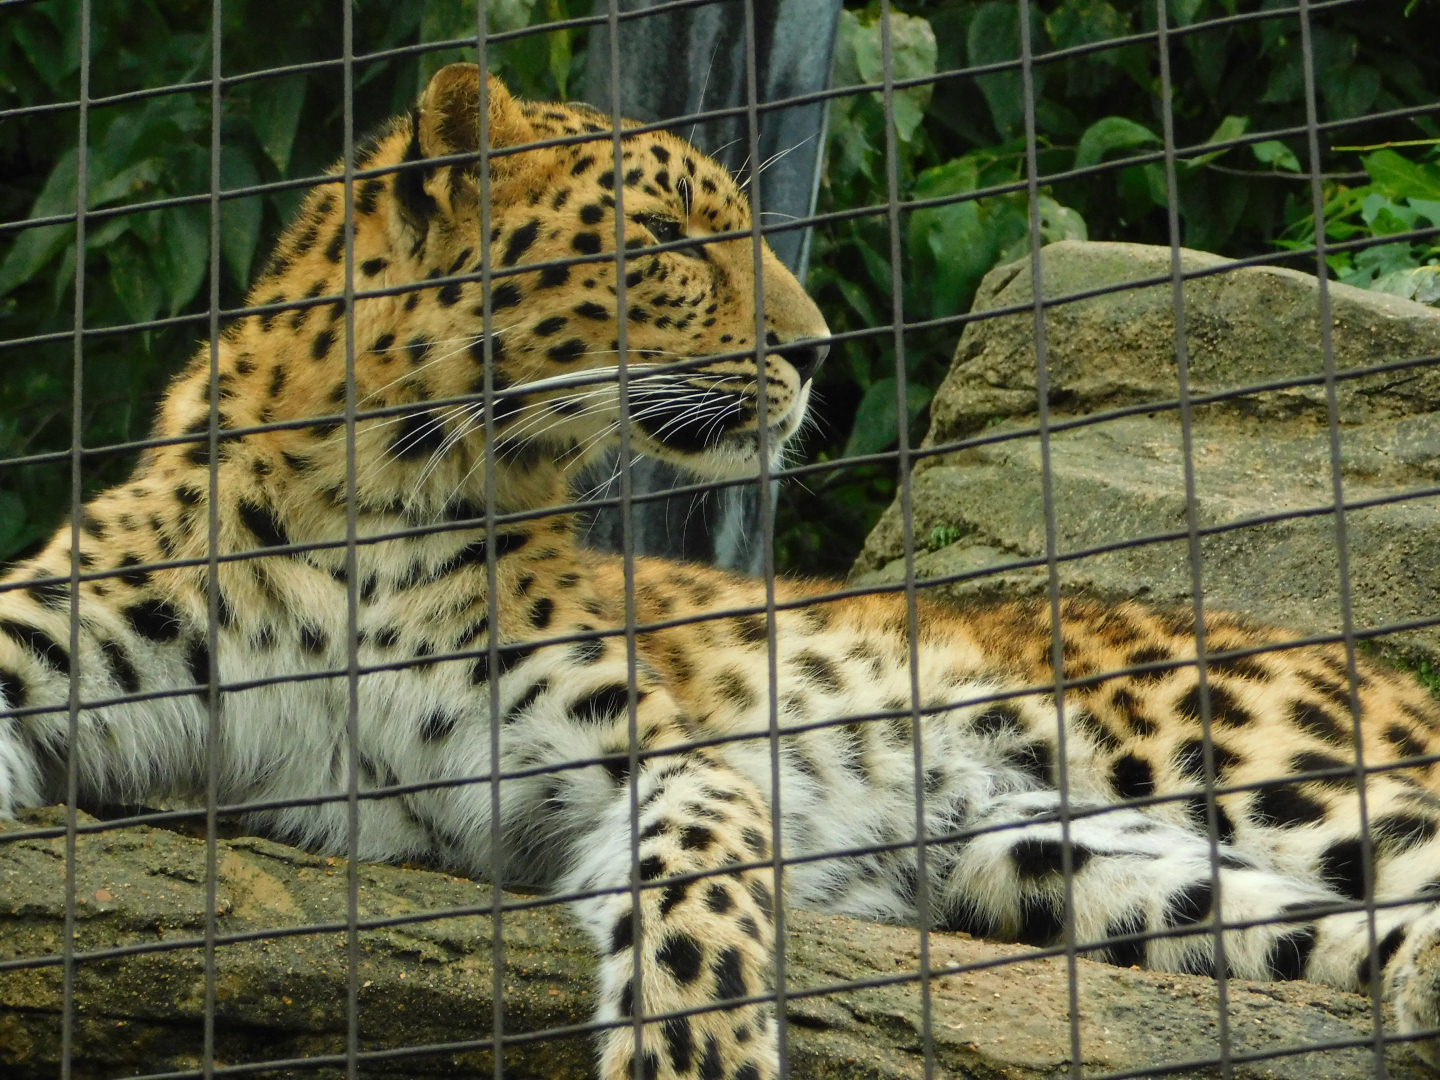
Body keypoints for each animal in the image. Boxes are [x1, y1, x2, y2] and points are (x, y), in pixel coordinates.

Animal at [5, 62, 1440, 1079]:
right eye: (668, 238)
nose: (816, 353)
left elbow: (696, 880)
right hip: (1064, 860)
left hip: (1254, 759)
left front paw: (696, 1049)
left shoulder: (659, 750)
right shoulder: (51, 648)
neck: (384, 494)